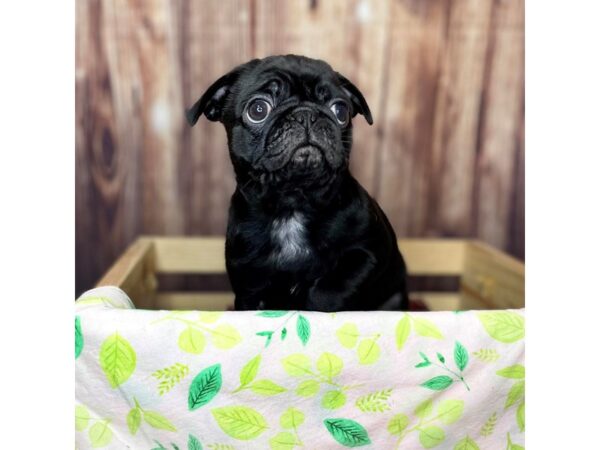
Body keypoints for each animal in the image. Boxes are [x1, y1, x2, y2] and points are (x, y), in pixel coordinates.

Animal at [189, 54, 408, 312]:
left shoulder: (369, 252)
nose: (306, 114)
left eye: (340, 110)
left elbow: (331, 288)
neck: (292, 201)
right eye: (258, 109)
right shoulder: (248, 284)